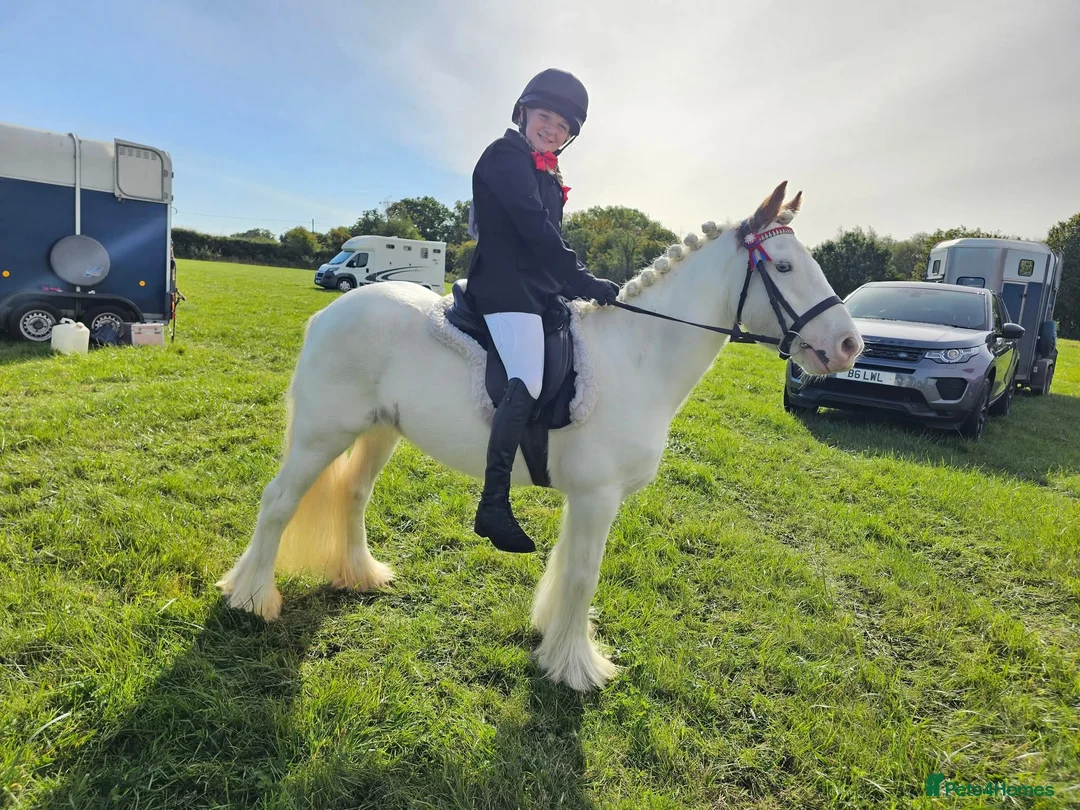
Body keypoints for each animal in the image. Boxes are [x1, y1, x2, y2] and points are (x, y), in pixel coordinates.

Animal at [217, 182, 863, 691]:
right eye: (784, 267)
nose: (850, 345)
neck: (639, 356)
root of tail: (330, 312)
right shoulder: (599, 496)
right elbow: (582, 574)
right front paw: (576, 668)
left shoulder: (589, 498)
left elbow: (568, 569)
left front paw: (556, 641)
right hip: (321, 433)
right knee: (278, 503)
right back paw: (250, 598)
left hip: (378, 431)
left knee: (352, 494)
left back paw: (359, 574)